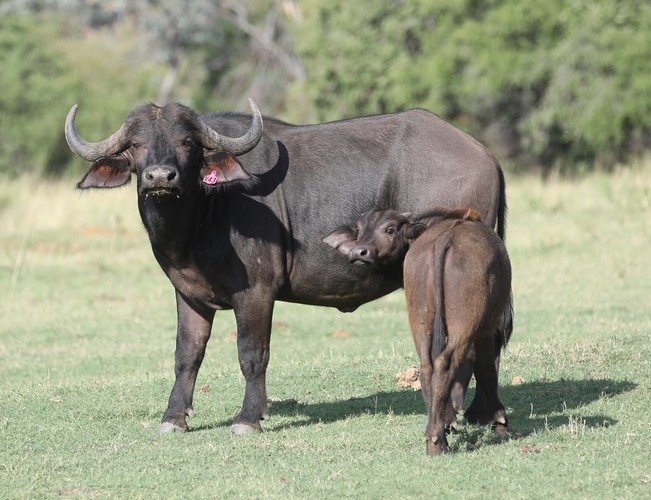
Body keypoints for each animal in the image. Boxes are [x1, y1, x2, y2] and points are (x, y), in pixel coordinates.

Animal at [323, 208, 512, 455]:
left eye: (390, 229)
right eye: (360, 230)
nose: (358, 252)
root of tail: (445, 239)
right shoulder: (489, 326)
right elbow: (487, 367)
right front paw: (499, 421)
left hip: (420, 317)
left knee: (427, 366)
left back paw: (436, 432)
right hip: (466, 321)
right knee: (446, 362)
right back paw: (437, 440)